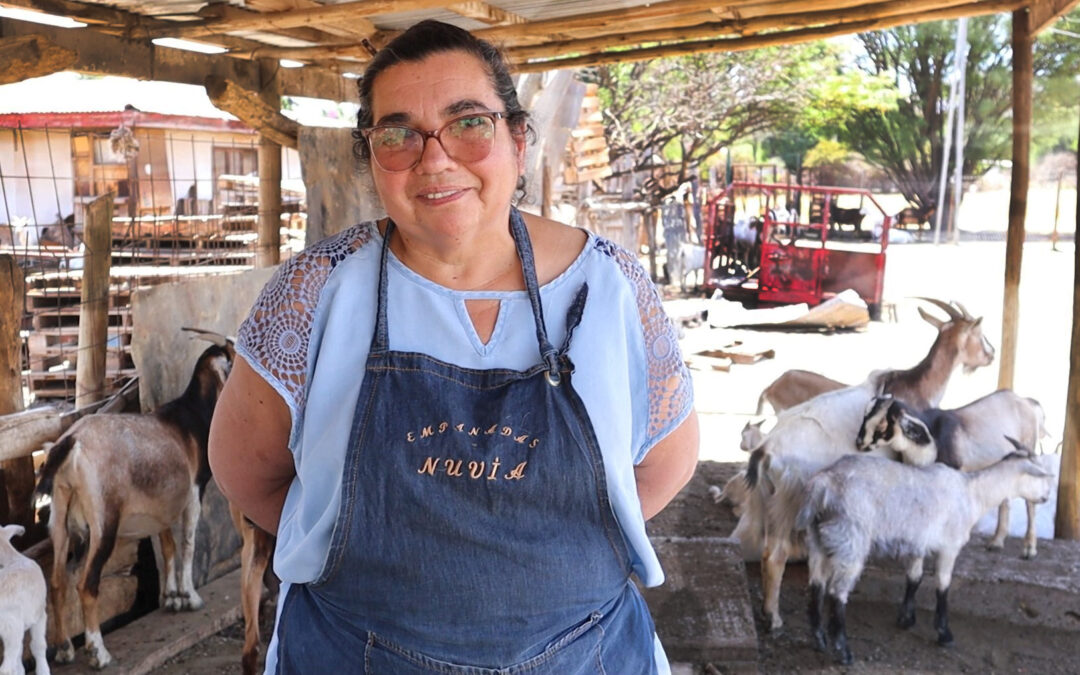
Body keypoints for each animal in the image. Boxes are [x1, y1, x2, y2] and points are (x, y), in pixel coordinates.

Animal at [0, 527, 49, 673]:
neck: (13, 558)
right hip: (12, 627)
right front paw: (44, 671)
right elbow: (39, 646)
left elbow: (19, 656)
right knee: (6, 669)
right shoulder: (40, 614)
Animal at [34, 332, 233, 669]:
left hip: (59, 517)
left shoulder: (161, 501)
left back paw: (64, 649)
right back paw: (98, 653)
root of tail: (71, 441)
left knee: (58, 582)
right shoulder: (194, 491)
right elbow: (188, 542)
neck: (189, 418)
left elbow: (167, 544)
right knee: (86, 584)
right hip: (104, 521)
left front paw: (171, 597)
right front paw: (190, 597)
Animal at [738, 298, 989, 630]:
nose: (990, 354)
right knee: (775, 555)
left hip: (767, 500)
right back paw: (775, 618)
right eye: (978, 332)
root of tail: (766, 450)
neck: (913, 389)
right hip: (789, 502)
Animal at [803, 449, 1054, 665]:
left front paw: (906, 620)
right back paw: (843, 651)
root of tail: (824, 484)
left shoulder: (918, 543)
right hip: (850, 538)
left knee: (817, 585)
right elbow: (942, 585)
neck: (973, 493)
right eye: (1040, 474)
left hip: (818, 537)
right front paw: (944, 633)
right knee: (837, 593)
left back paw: (819, 640)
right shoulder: (949, 546)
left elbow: (914, 578)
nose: (1047, 496)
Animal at [855, 388, 1049, 557]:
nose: (859, 443)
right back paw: (996, 542)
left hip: (1028, 448)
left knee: (1030, 503)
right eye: (864, 416)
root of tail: (1027, 402)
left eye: (882, 424)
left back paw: (1029, 548)